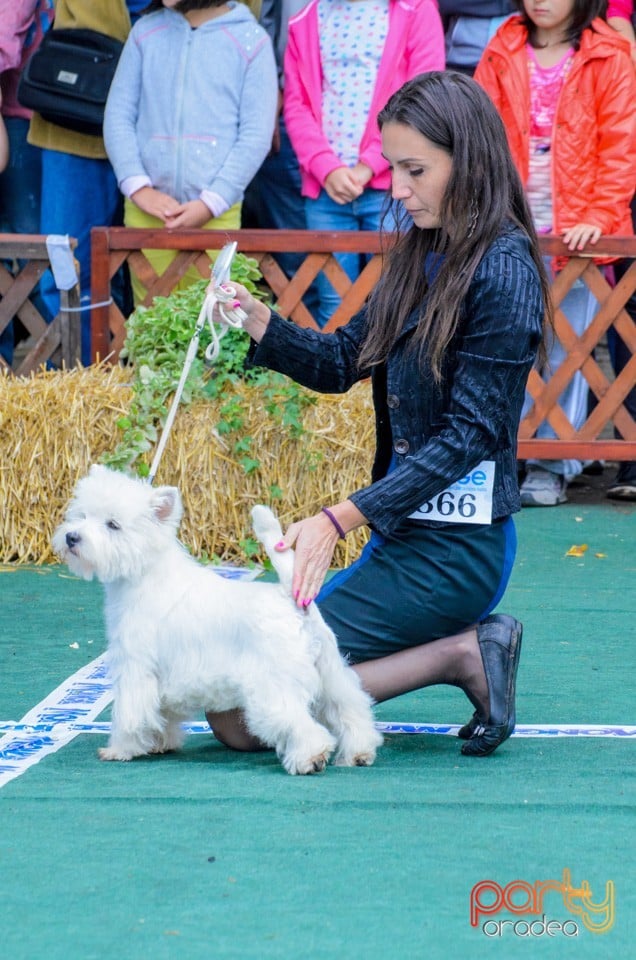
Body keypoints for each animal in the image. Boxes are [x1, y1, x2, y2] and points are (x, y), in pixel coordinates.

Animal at [52, 464, 380, 772]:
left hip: (273, 682)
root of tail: (291, 597)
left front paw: (120, 749)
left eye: (113, 524)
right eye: (81, 514)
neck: (142, 574)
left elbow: (130, 713)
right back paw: (358, 752)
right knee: (350, 708)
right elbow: (162, 714)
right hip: (330, 671)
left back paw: (310, 758)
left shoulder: (135, 667)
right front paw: (160, 743)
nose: (72, 537)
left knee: (299, 721)